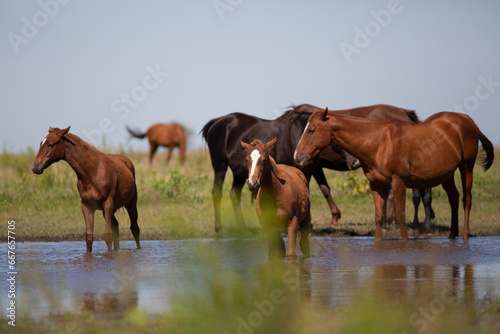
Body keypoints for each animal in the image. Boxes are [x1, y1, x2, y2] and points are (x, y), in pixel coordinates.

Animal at [201, 103, 432, 234]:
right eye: (337, 139)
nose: (355, 163)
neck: (296, 135)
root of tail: (217, 122)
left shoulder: (309, 167)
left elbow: (320, 189)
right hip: (220, 168)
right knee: (217, 192)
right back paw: (218, 227)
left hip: (240, 174)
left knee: (234, 195)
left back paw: (241, 228)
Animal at [294, 111, 494, 241]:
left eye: (312, 130)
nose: (297, 156)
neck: (379, 143)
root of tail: (467, 120)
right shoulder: (376, 185)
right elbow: (378, 216)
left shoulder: (398, 182)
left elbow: (400, 215)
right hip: (447, 175)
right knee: (454, 198)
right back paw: (452, 235)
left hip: (466, 167)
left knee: (466, 199)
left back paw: (465, 234)